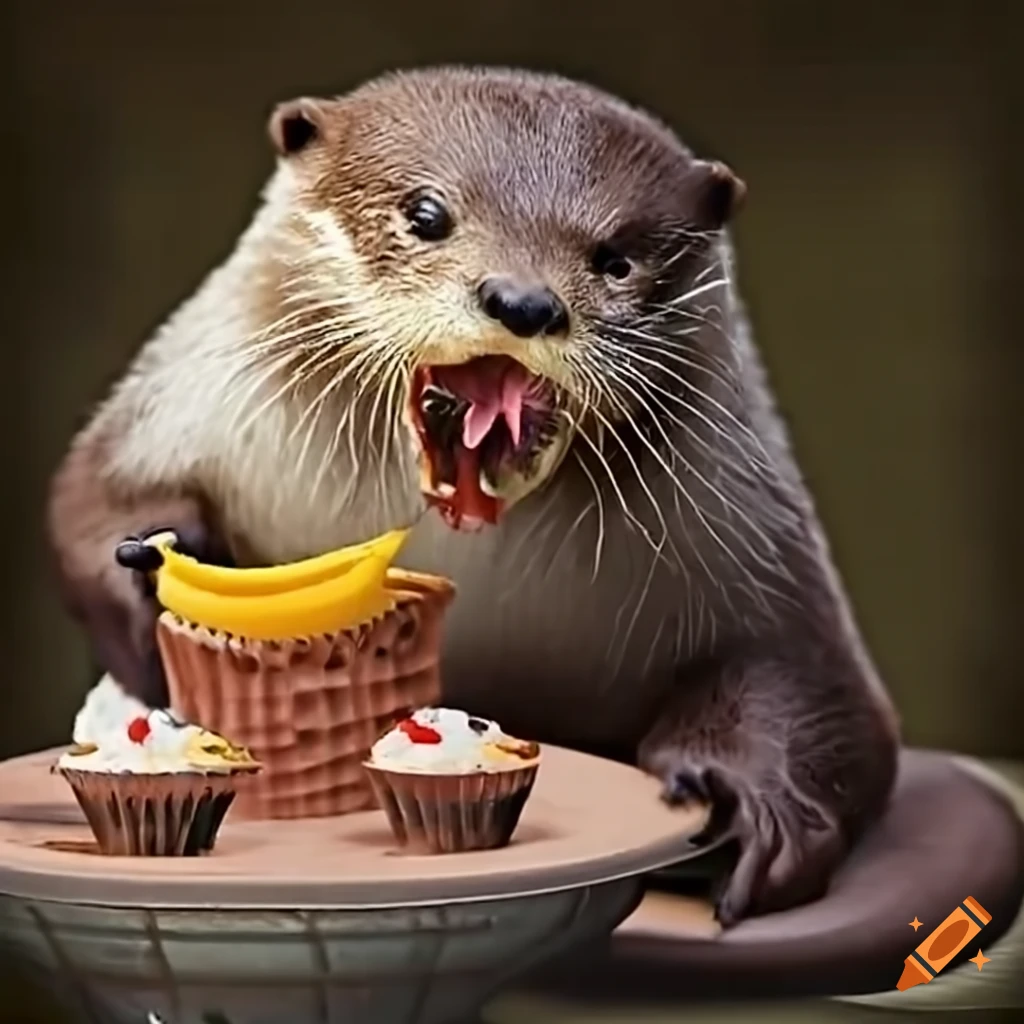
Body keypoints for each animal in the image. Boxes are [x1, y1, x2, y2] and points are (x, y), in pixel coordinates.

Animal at [47, 66, 900, 926]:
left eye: (616, 258)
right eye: (427, 215)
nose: (523, 301)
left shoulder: (761, 546)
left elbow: (816, 689)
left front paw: (751, 801)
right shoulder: (176, 413)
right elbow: (87, 502)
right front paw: (151, 573)